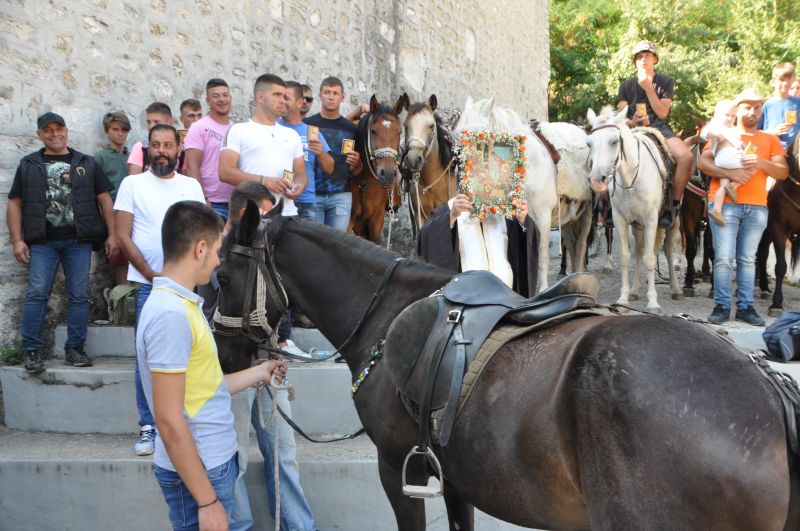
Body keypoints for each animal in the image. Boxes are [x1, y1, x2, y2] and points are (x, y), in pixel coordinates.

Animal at [219, 205, 800, 531]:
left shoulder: (397, 469)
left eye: (222, 274)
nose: (223, 358)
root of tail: (768, 391)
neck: (385, 311)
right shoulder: (452, 477)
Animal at [456, 97, 592, 294]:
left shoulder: (542, 217)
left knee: (580, 245)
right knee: (572, 244)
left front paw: (542, 290)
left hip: (586, 214)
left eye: (478, 137)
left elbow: (541, 254)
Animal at [588, 105, 680, 312]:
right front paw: (623, 299)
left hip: (673, 222)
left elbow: (650, 258)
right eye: (589, 143)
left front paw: (653, 302)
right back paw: (635, 290)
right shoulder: (621, 219)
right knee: (638, 251)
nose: (597, 180)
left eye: (614, 141)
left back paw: (676, 288)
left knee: (668, 250)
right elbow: (626, 257)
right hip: (637, 225)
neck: (631, 178)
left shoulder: (652, 220)